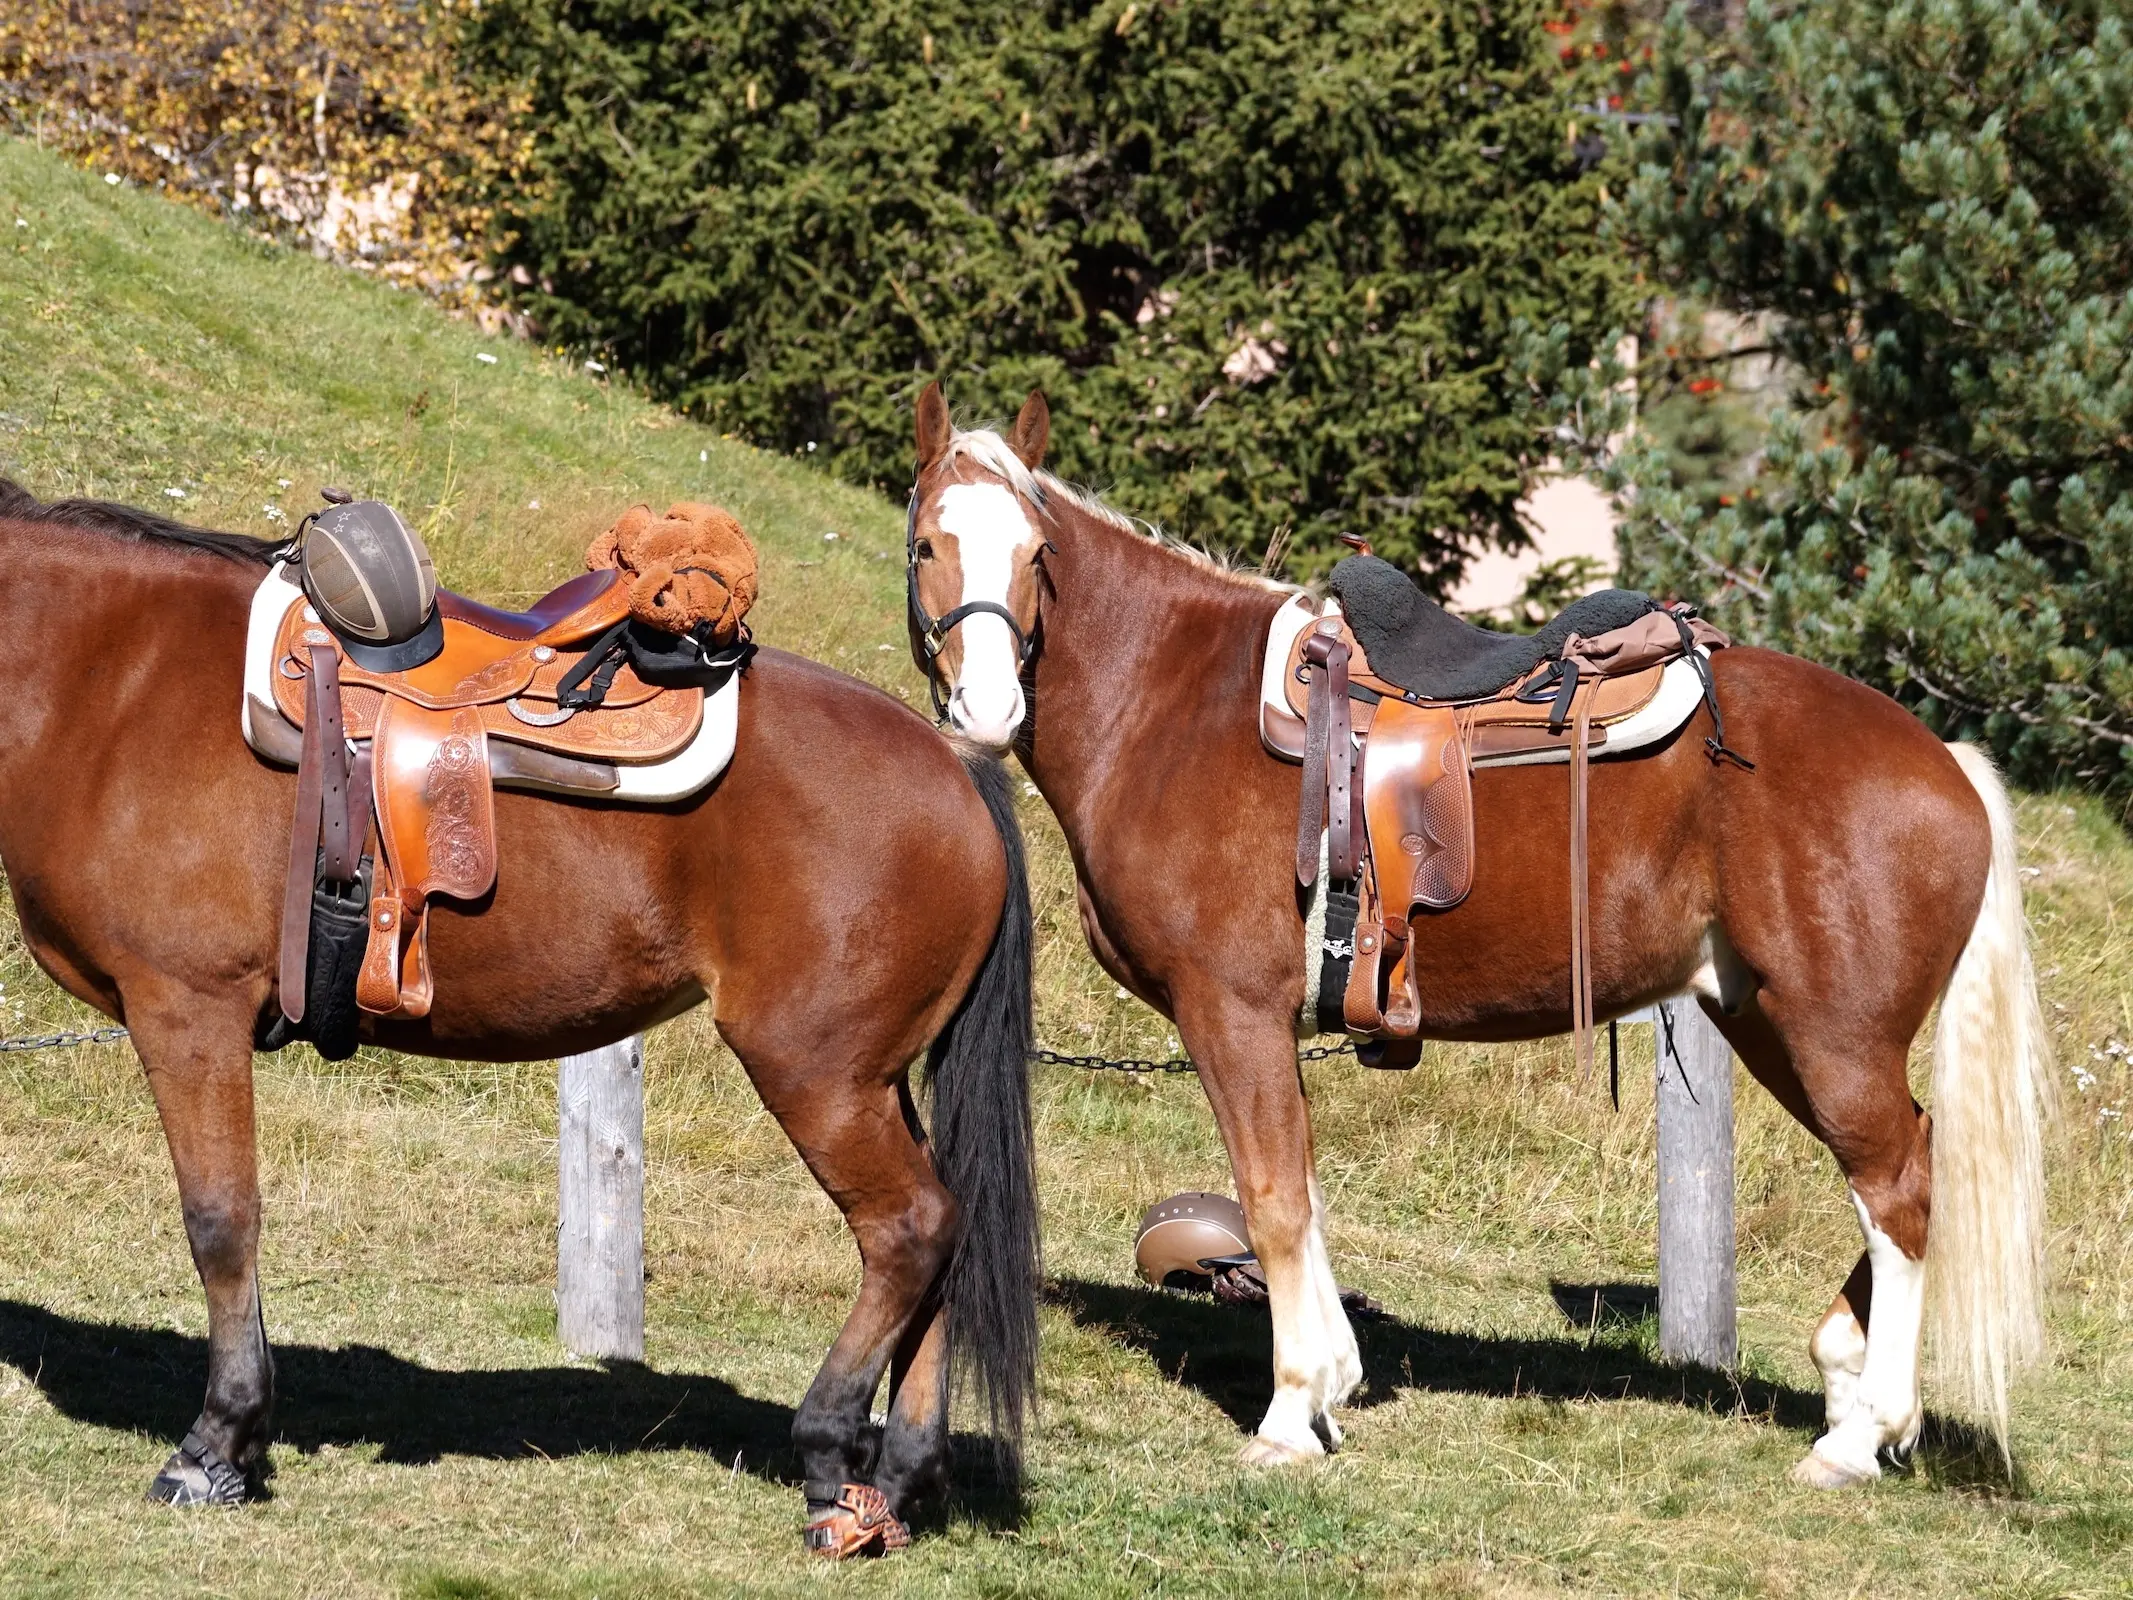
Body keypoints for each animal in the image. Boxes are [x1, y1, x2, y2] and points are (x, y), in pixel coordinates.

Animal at [0, 475, 1036, 1553]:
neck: (113, 677)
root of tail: (954, 762)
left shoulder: (187, 1011)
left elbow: (221, 1219)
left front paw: (217, 1444)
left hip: (817, 1071)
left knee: (908, 1227)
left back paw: (833, 1452)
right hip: (874, 1077)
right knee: (944, 1229)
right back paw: (902, 1473)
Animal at [900, 386, 2047, 1493]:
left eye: (1037, 555)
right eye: (926, 546)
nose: (988, 706)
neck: (1172, 705)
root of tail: (1943, 762)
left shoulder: (1230, 1010)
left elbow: (1272, 1200)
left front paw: (1289, 1413)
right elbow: (1303, 1189)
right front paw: (1336, 1380)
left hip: (1832, 1036)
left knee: (1896, 1187)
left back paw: (1863, 1433)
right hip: (1768, 1022)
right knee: (1909, 1162)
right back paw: (1848, 1389)